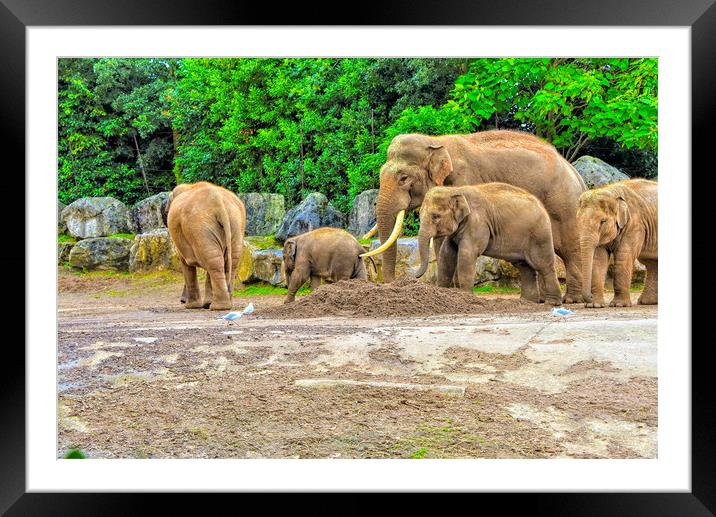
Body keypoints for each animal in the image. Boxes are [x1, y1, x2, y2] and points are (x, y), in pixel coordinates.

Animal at [364, 129, 588, 304]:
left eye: (403, 178)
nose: (396, 283)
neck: (435, 141)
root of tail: (575, 171)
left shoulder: (463, 180)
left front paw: (454, 293)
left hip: (564, 206)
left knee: (569, 248)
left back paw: (572, 300)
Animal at [580, 178, 656, 306]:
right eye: (578, 220)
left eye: (603, 221)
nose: (589, 297)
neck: (612, 191)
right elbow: (598, 259)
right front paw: (594, 305)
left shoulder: (635, 225)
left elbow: (623, 256)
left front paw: (619, 305)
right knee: (651, 262)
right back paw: (647, 302)